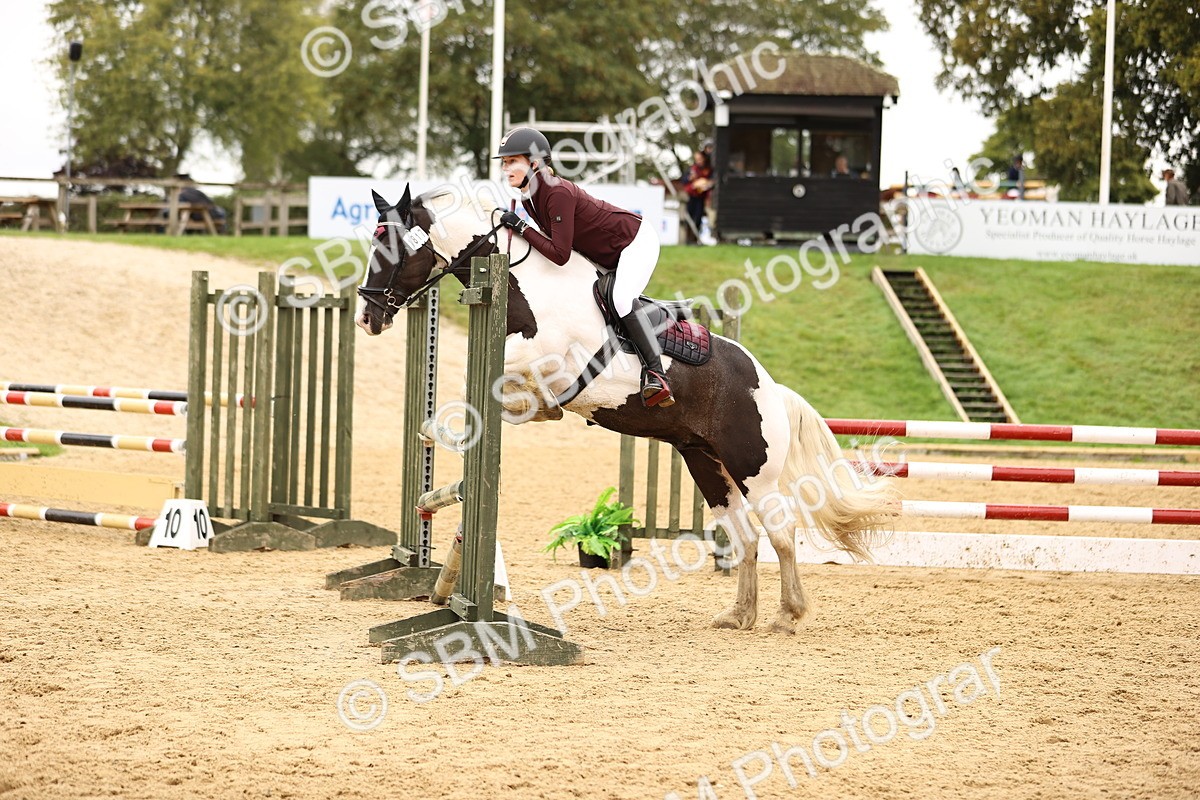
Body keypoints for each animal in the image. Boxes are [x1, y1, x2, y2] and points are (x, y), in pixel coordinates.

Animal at [356, 184, 897, 634]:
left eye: (388, 247)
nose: (366, 317)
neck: (527, 286)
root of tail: (770, 385)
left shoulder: (547, 362)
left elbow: (494, 386)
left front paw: (448, 430)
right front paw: (454, 428)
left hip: (753, 470)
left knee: (781, 534)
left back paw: (788, 615)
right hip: (706, 465)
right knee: (744, 538)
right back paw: (739, 615)